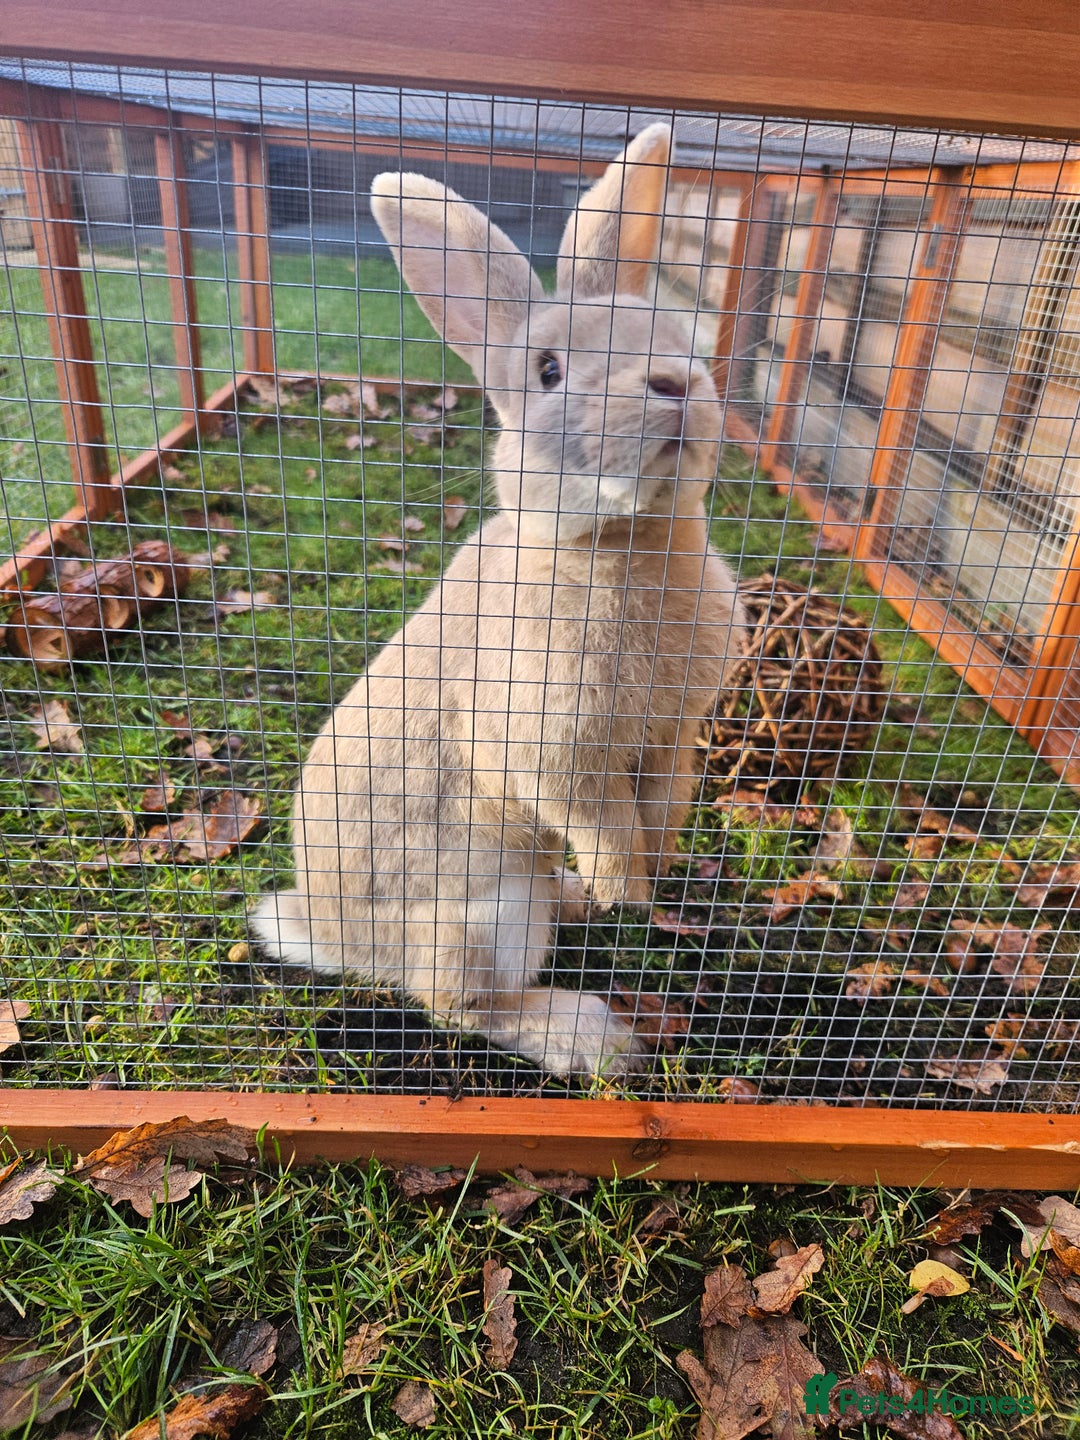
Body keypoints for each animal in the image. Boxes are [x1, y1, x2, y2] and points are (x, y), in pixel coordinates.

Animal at [250, 123, 746, 1078]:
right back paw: (592, 1034)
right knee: (460, 1004)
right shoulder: (555, 754)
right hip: (488, 915)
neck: (618, 543)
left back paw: (580, 907)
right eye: (549, 371)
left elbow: (662, 806)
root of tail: (328, 934)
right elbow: (607, 825)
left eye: (680, 335)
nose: (674, 383)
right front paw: (630, 892)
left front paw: (653, 876)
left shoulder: (671, 736)